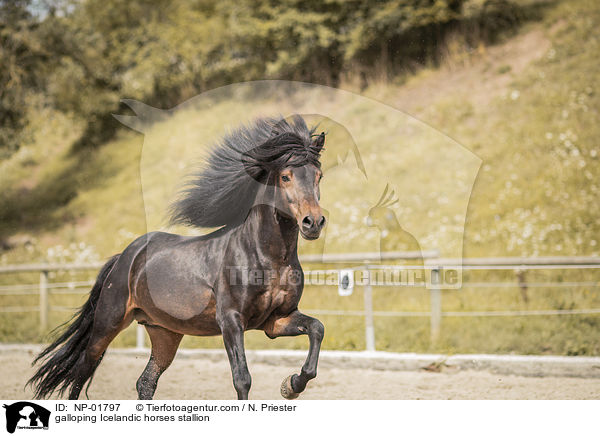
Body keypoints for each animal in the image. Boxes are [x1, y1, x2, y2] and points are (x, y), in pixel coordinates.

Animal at [27, 115, 328, 398]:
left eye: (318, 176)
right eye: (285, 176)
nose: (313, 222)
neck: (266, 256)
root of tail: (125, 257)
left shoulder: (276, 320)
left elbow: (317, 329)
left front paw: (291, 385)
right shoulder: (231, 321)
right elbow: (242, 379)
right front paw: (288, 386)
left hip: (165, 333)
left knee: (145, 382)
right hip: (106, 325)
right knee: (80, 374)